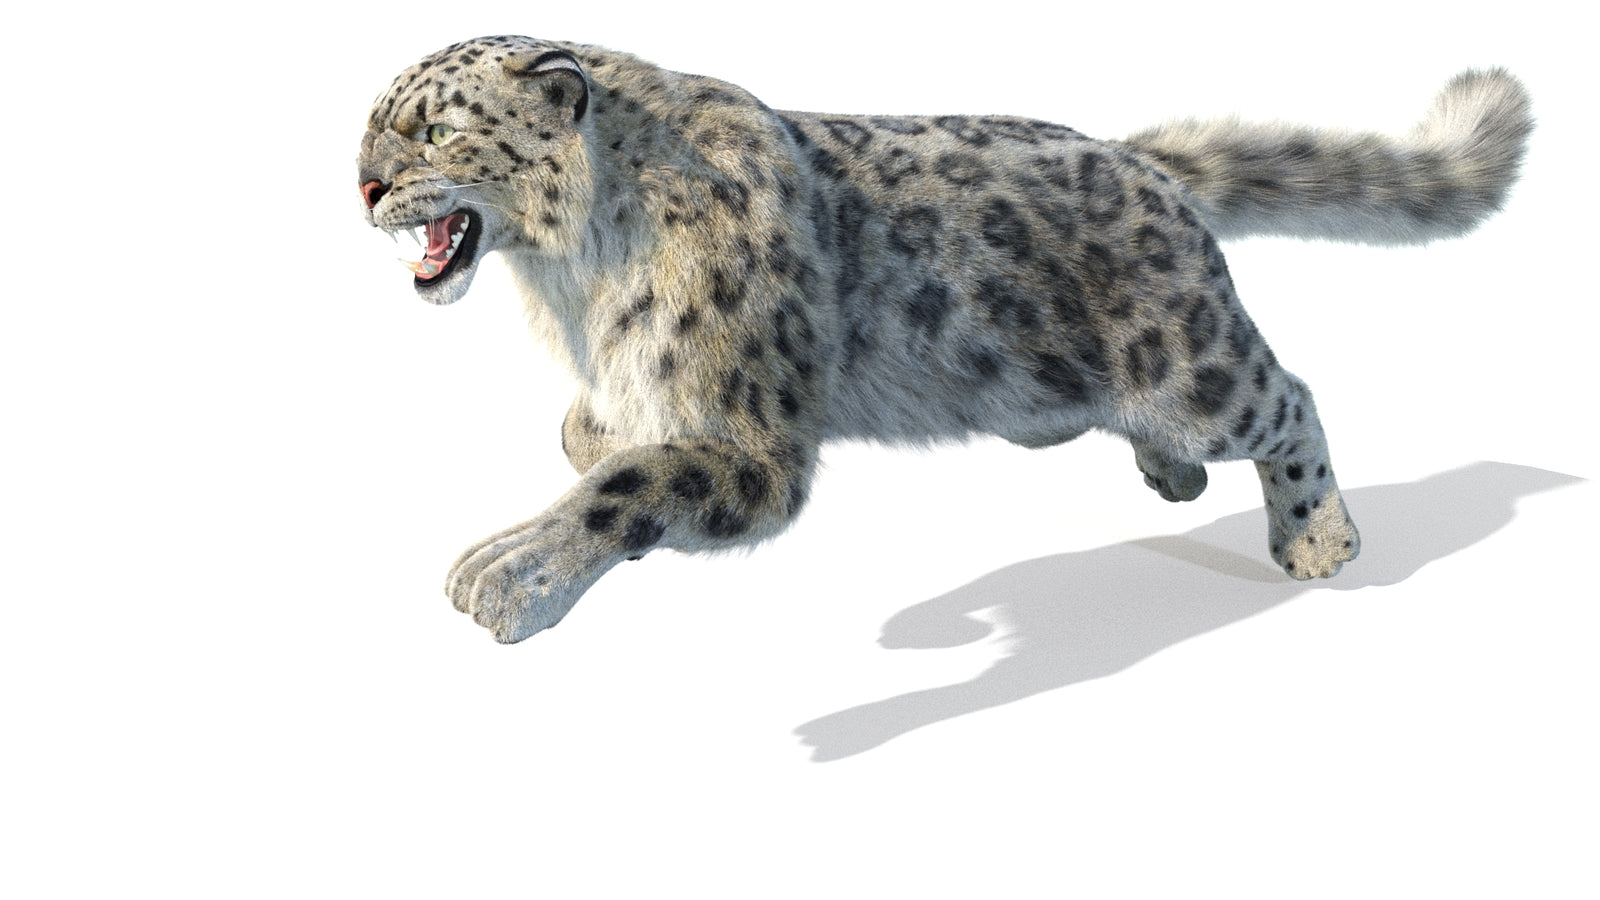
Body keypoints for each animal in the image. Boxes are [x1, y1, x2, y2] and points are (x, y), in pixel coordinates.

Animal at [356, 36, 1531, 643]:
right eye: (373, 128)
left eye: (436, 129)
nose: (361, 185)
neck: (571, 284)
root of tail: (1144, 164)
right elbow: (586, 438)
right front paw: (586, 444)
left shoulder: (752, 443)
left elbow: (629, 485)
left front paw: (509, 571)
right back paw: (1172, 478)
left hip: (1193, 367)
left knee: (1288, 396)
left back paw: (1315, 538)